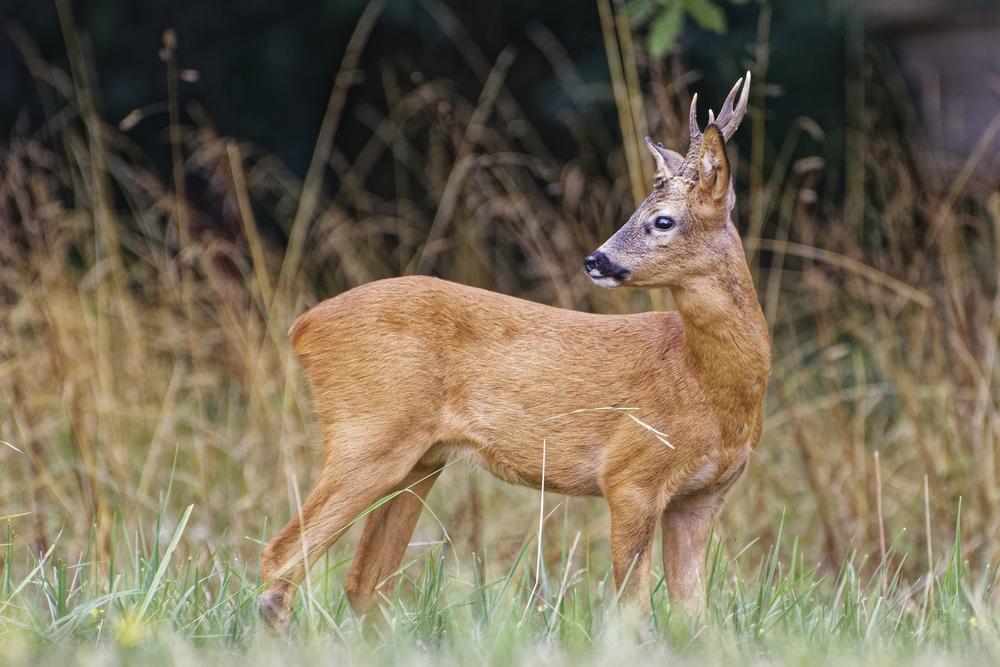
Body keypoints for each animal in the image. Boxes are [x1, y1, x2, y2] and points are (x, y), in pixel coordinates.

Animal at [260, 74, 772, 636]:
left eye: (662, 220)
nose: (595, 259)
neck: (705, 384)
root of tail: (303, 327)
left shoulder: (701, 498)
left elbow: (693, 617)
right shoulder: (630, 474)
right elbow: (633, 611)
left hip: (420, 460)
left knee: (363, 580)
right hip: (368, 435)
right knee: (280, 559)